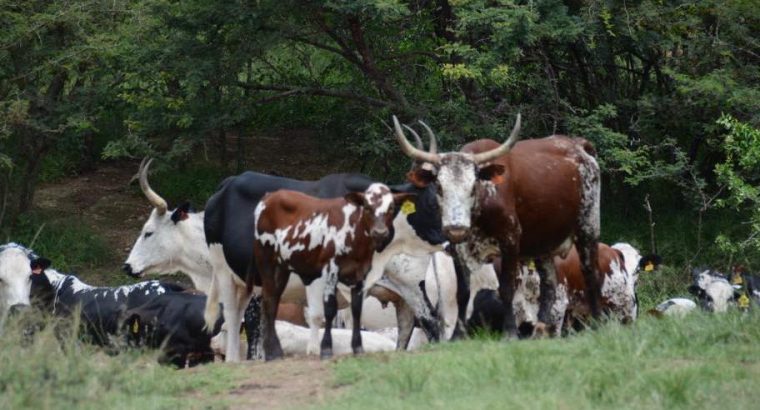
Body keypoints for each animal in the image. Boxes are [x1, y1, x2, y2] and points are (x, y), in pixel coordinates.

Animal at [252, 183, 416, 360]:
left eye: (391, 207)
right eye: (366, 206)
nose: (380, 232)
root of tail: (271, 195)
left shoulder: (361, 276)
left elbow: (356, 310)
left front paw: (358, 348)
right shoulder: (330, 273)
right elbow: (329, 309)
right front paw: (325, 349)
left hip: (282, 268)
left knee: (272, 301)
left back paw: (272, 351)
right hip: (266, 262)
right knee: (268, 302)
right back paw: (273, 352)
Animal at [394, 114, 602, 338]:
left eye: (473, 186)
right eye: (439, 187)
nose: (456, 228)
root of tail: (578, 145)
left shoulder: (510, 241)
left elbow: (507, 289)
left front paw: (510, 331)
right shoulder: (458, 248)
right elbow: (463, 293)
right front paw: (458, 334)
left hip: (588, 227)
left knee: (591, 273)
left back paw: (598, 322)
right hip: (542, 242)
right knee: (549, 285)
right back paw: (540, 329)